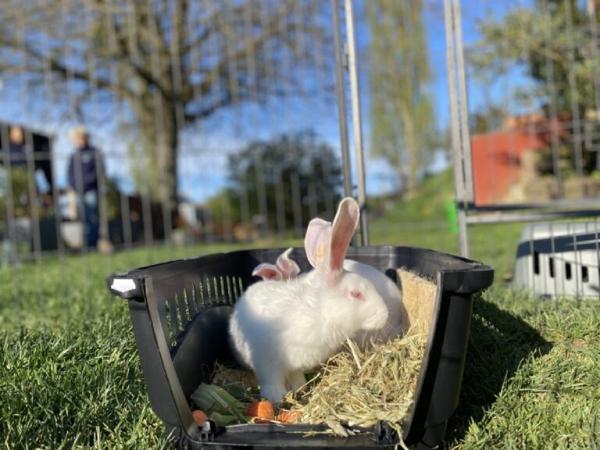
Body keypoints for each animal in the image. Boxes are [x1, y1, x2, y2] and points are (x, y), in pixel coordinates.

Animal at [230, 199, 390, 402]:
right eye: (356, 294)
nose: (385, 315)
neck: (319, 313)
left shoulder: (294, 366)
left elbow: (296, 377)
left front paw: (300, 389)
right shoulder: (267, 362)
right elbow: (271, 381)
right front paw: (276, 399)